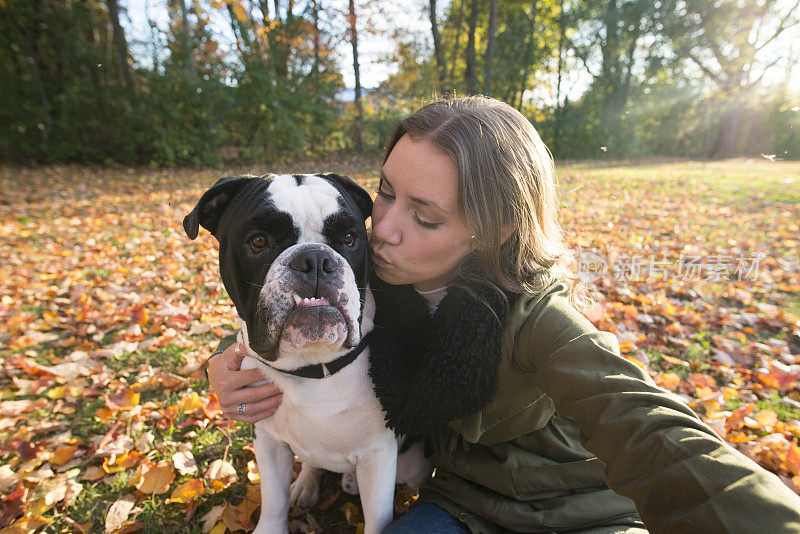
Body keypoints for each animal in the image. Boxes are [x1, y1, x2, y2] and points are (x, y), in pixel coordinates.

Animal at [184, 175, 432, 534]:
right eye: (258, 241)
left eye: (349, 238)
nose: (315, 259)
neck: (312, 367)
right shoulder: (268, 442)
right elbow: (272, 500)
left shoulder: (378, 457)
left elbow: (377, 518)